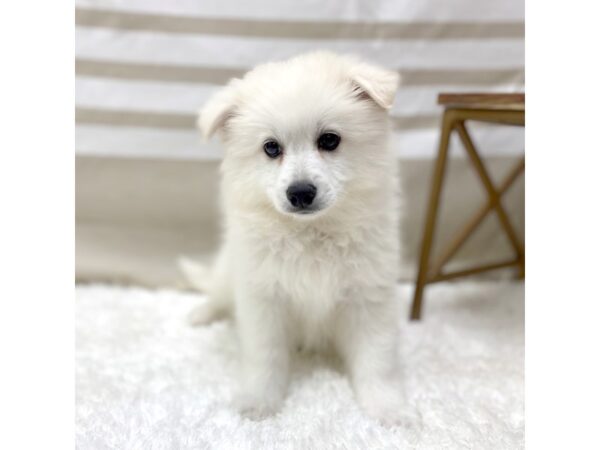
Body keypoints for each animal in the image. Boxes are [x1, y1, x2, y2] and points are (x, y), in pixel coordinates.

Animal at [185, 52, 414, 426]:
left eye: (330, 140)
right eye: (271, 148)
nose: (301, 192)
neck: (312, 233)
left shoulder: (368, 296)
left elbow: (376, 360)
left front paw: (389, 410)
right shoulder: (263, 299)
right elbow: (265, 358)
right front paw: (258, 403)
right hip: (226, 271)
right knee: (216, 293)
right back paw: (200, 314)